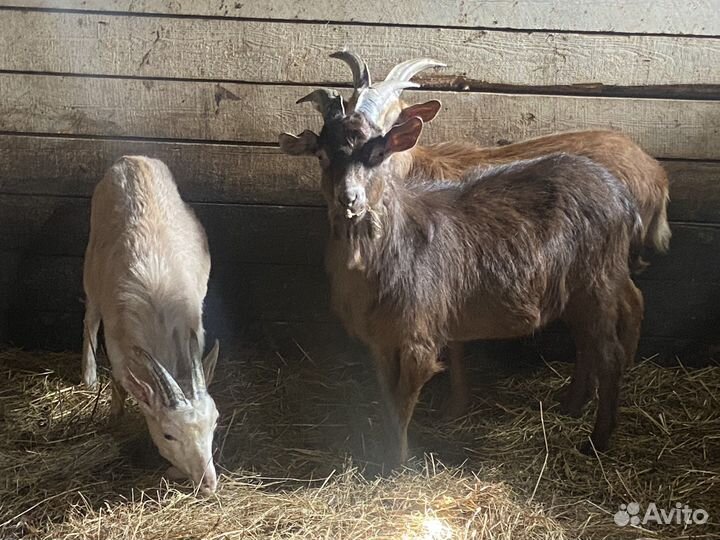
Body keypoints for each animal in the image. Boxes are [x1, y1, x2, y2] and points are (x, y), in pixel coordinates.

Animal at [82, 156, 220, 494]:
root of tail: (132, 159)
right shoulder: (118, 345)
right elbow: (120, 382)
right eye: (169, 434)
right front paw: (115, 414)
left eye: (215, 422)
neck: (160, 319)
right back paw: (88, 377)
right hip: (90, 269)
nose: (208, 483)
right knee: (89, 317)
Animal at [279, 88, 644, 467]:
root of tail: (622, 198)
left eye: (379, 153)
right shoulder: (380, 338)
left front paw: (397, 463)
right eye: (321, 154)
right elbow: (388, 398)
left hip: (598, 280)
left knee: (610, 354)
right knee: (586, 343)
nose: (349, 198)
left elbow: (403, 404)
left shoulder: (418, 336)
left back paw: (596, 440)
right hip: (574, 291)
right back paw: (571, 406)